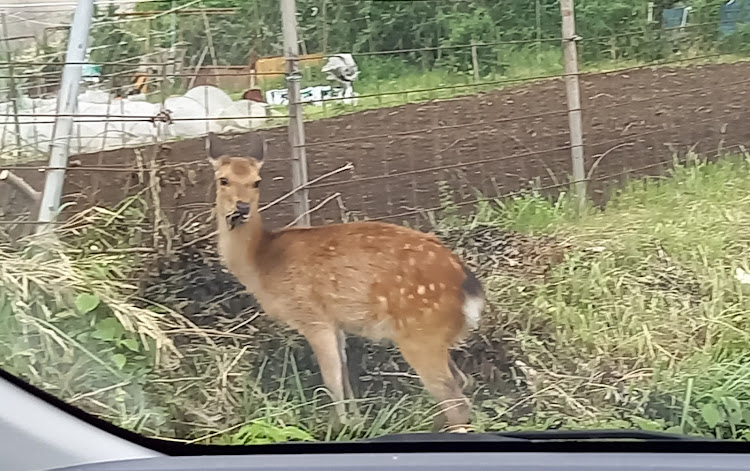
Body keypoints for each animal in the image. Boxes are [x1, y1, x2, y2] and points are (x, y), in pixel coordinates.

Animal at [207, 134, 488, 436]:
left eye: (257, 181)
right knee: (462, 383)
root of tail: (469, 288)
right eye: (223, 179)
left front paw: (340, 426)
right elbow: (343, 372)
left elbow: (331, 379)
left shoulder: (313, 317)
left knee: (455, 400)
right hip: (435, 337)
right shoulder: (336, 321)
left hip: (421, 334)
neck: (262, 264)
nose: (242, 208)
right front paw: (356, 420)